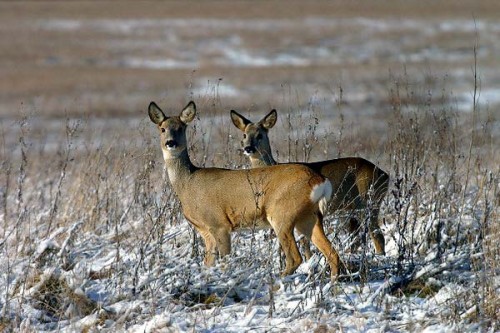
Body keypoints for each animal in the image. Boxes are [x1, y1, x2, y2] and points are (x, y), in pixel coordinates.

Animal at [148, 100, 342, 278]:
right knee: (332, 253)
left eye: (181, 128)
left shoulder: (219, 223)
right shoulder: (205, 231)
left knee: (295, 258)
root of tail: (319, 180)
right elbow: (208, 263)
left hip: (282, 213)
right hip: (309, 217)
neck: (187, 183)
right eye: (162, 129)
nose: (170, 143)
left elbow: (225, 262)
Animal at [230, 109, 390, 254]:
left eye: (260, 135)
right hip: (351, 210)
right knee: (357, 239)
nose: (248, 148)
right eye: (244, 135)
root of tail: (385, 175)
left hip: (368, 201)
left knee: (377, 235)